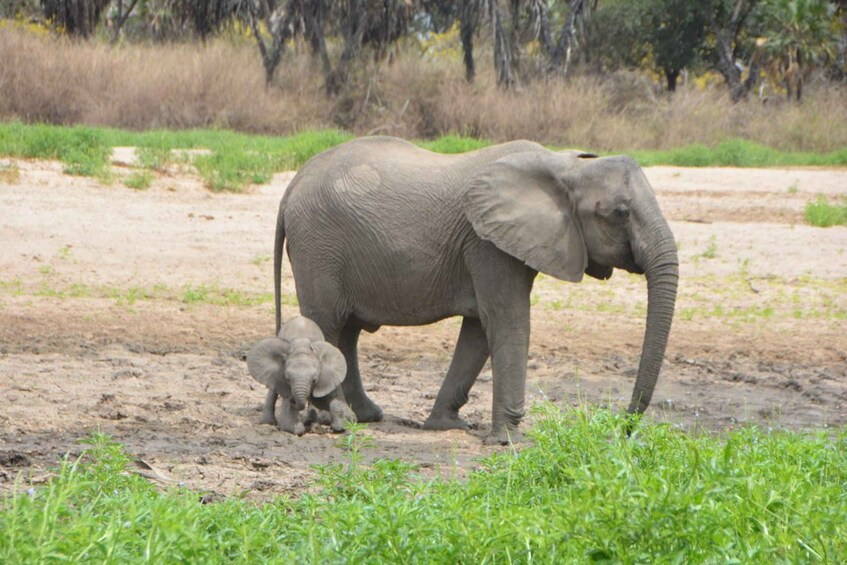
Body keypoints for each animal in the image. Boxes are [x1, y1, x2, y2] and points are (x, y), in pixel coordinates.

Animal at [274, 135, 680, 440]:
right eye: (620, 213)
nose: (622, 429)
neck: (563, 165)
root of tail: (291, 185)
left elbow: (480, 330)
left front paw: (448, 425)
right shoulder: (487, 244)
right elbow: (506, 320)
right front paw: (508, 441)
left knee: (350, 331)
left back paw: (367, 415)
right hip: (319, 247)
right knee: (328, 324)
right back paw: (338, 420)